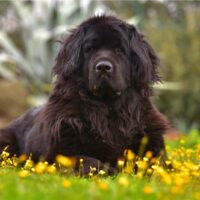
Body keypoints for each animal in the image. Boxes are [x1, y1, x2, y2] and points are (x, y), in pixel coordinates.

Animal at [0, 15, 169, 173]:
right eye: (90, 49)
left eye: (119, 50)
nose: (103, 67)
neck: (108, 109)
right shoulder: (59, 151)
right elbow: (90, 161)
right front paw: (112, 171)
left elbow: (159, 164)